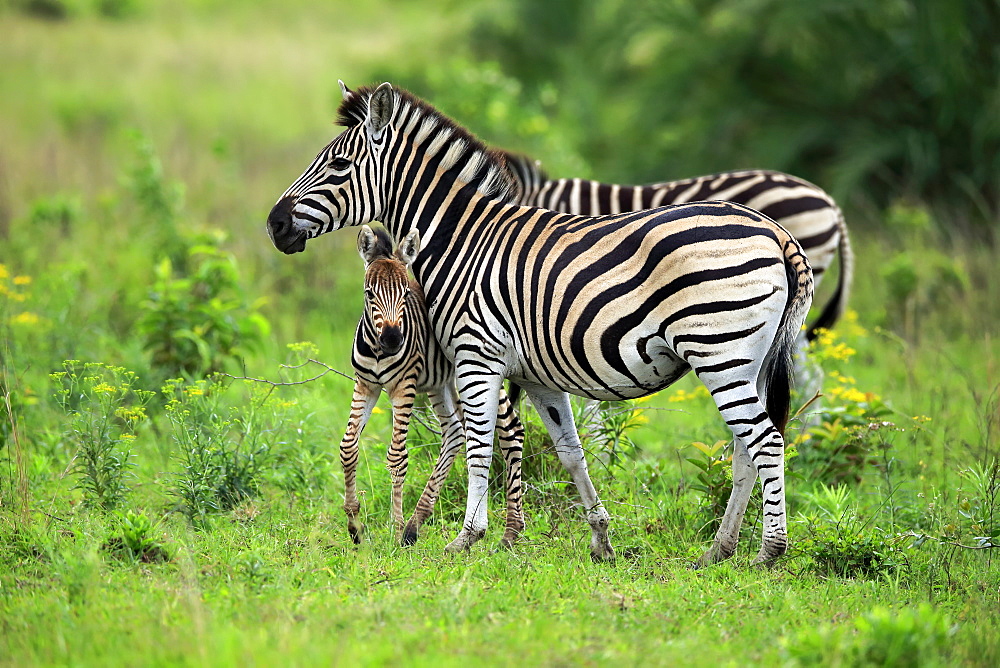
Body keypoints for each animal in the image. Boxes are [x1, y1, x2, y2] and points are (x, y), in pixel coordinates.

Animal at [342, 226, 528, 548]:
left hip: (481, 370)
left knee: (511, 430)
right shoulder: (365, 385)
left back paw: (511, 530)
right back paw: (418, 522)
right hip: (443, 382)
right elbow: (348, 447)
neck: (378, 351)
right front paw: (355, 524)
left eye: (405, 293)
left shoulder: (403, 387)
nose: (393, 340)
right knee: (455, 432)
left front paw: (395, 527)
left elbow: (397, 456)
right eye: (369, 294)